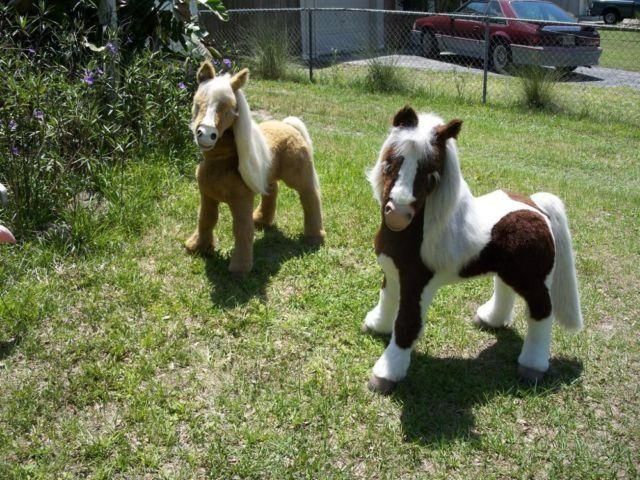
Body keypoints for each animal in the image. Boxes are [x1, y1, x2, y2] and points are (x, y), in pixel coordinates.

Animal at [184, 61, 325, 274]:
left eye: (230, 109)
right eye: (197, 102)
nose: (206, 134)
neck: (221, 163)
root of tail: (290, 126)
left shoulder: (241, 200)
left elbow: (242, 230)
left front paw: (240, 269)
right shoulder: (207, 196)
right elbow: (206, 220)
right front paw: (196, 247)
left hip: (300, 177)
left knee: (310, 197)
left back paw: (314, 236)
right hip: (269, 176)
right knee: (272, 191)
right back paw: (261, 220)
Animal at [363, 106, 583, 394]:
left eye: (432, 175)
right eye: (389, 163)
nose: (398, 215)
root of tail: (537, 207)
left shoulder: (418, 283)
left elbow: (407, 323)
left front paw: (386, 373)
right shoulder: (392, 272)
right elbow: (387, 298)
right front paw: (376, 325)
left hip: (533, 280)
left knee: (542, 311)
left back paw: (532, 366)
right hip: (510, 270)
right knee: (505, 288)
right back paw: (490, 319)